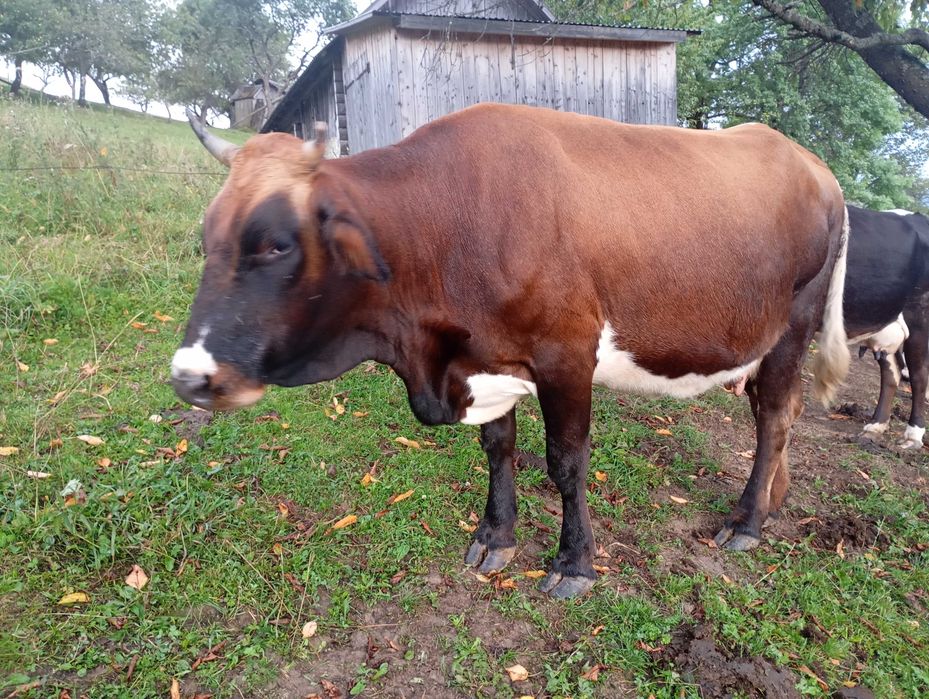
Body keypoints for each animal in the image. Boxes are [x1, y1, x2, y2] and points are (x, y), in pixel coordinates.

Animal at [172, 104, 849, 598]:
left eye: (276, 244)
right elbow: (498, 448)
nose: (189, 376)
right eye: (209, 235)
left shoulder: (567, 355)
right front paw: (495, 535)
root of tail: (814, 166)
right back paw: (769, 502)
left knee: (773, 418)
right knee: (773, 414)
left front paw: (574, 564)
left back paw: (746, 522)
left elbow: (566, 463)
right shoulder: (485, 360)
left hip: (792, 328)